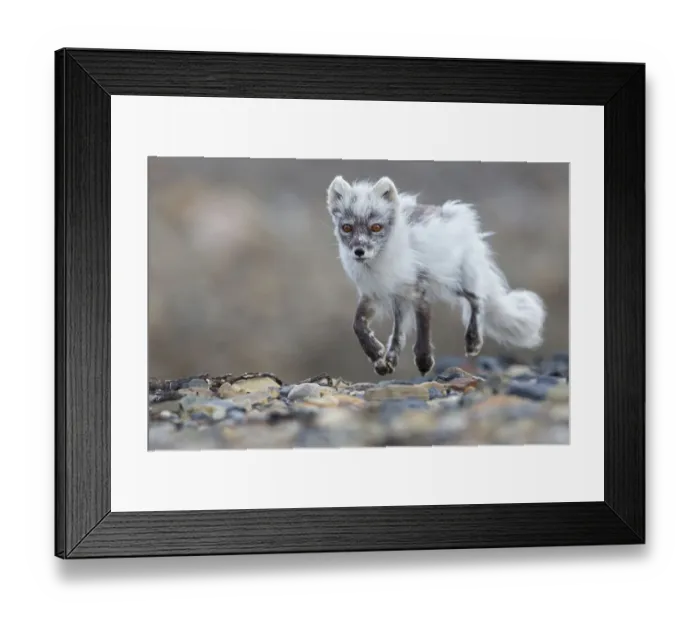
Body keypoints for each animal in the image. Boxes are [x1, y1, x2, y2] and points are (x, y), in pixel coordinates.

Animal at [326, 175, 547, 377]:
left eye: (376, 227)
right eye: (347, 227)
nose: (359, 251)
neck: (379, 265)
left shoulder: (418, 290)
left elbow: (424, 328)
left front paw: (424, 361)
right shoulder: (373, 294)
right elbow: (358, 325)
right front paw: (376, 354)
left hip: (452, 282)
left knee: (477, 299)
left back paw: (473, 341)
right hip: (403, 299)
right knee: (398, 334)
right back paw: (389, 360)